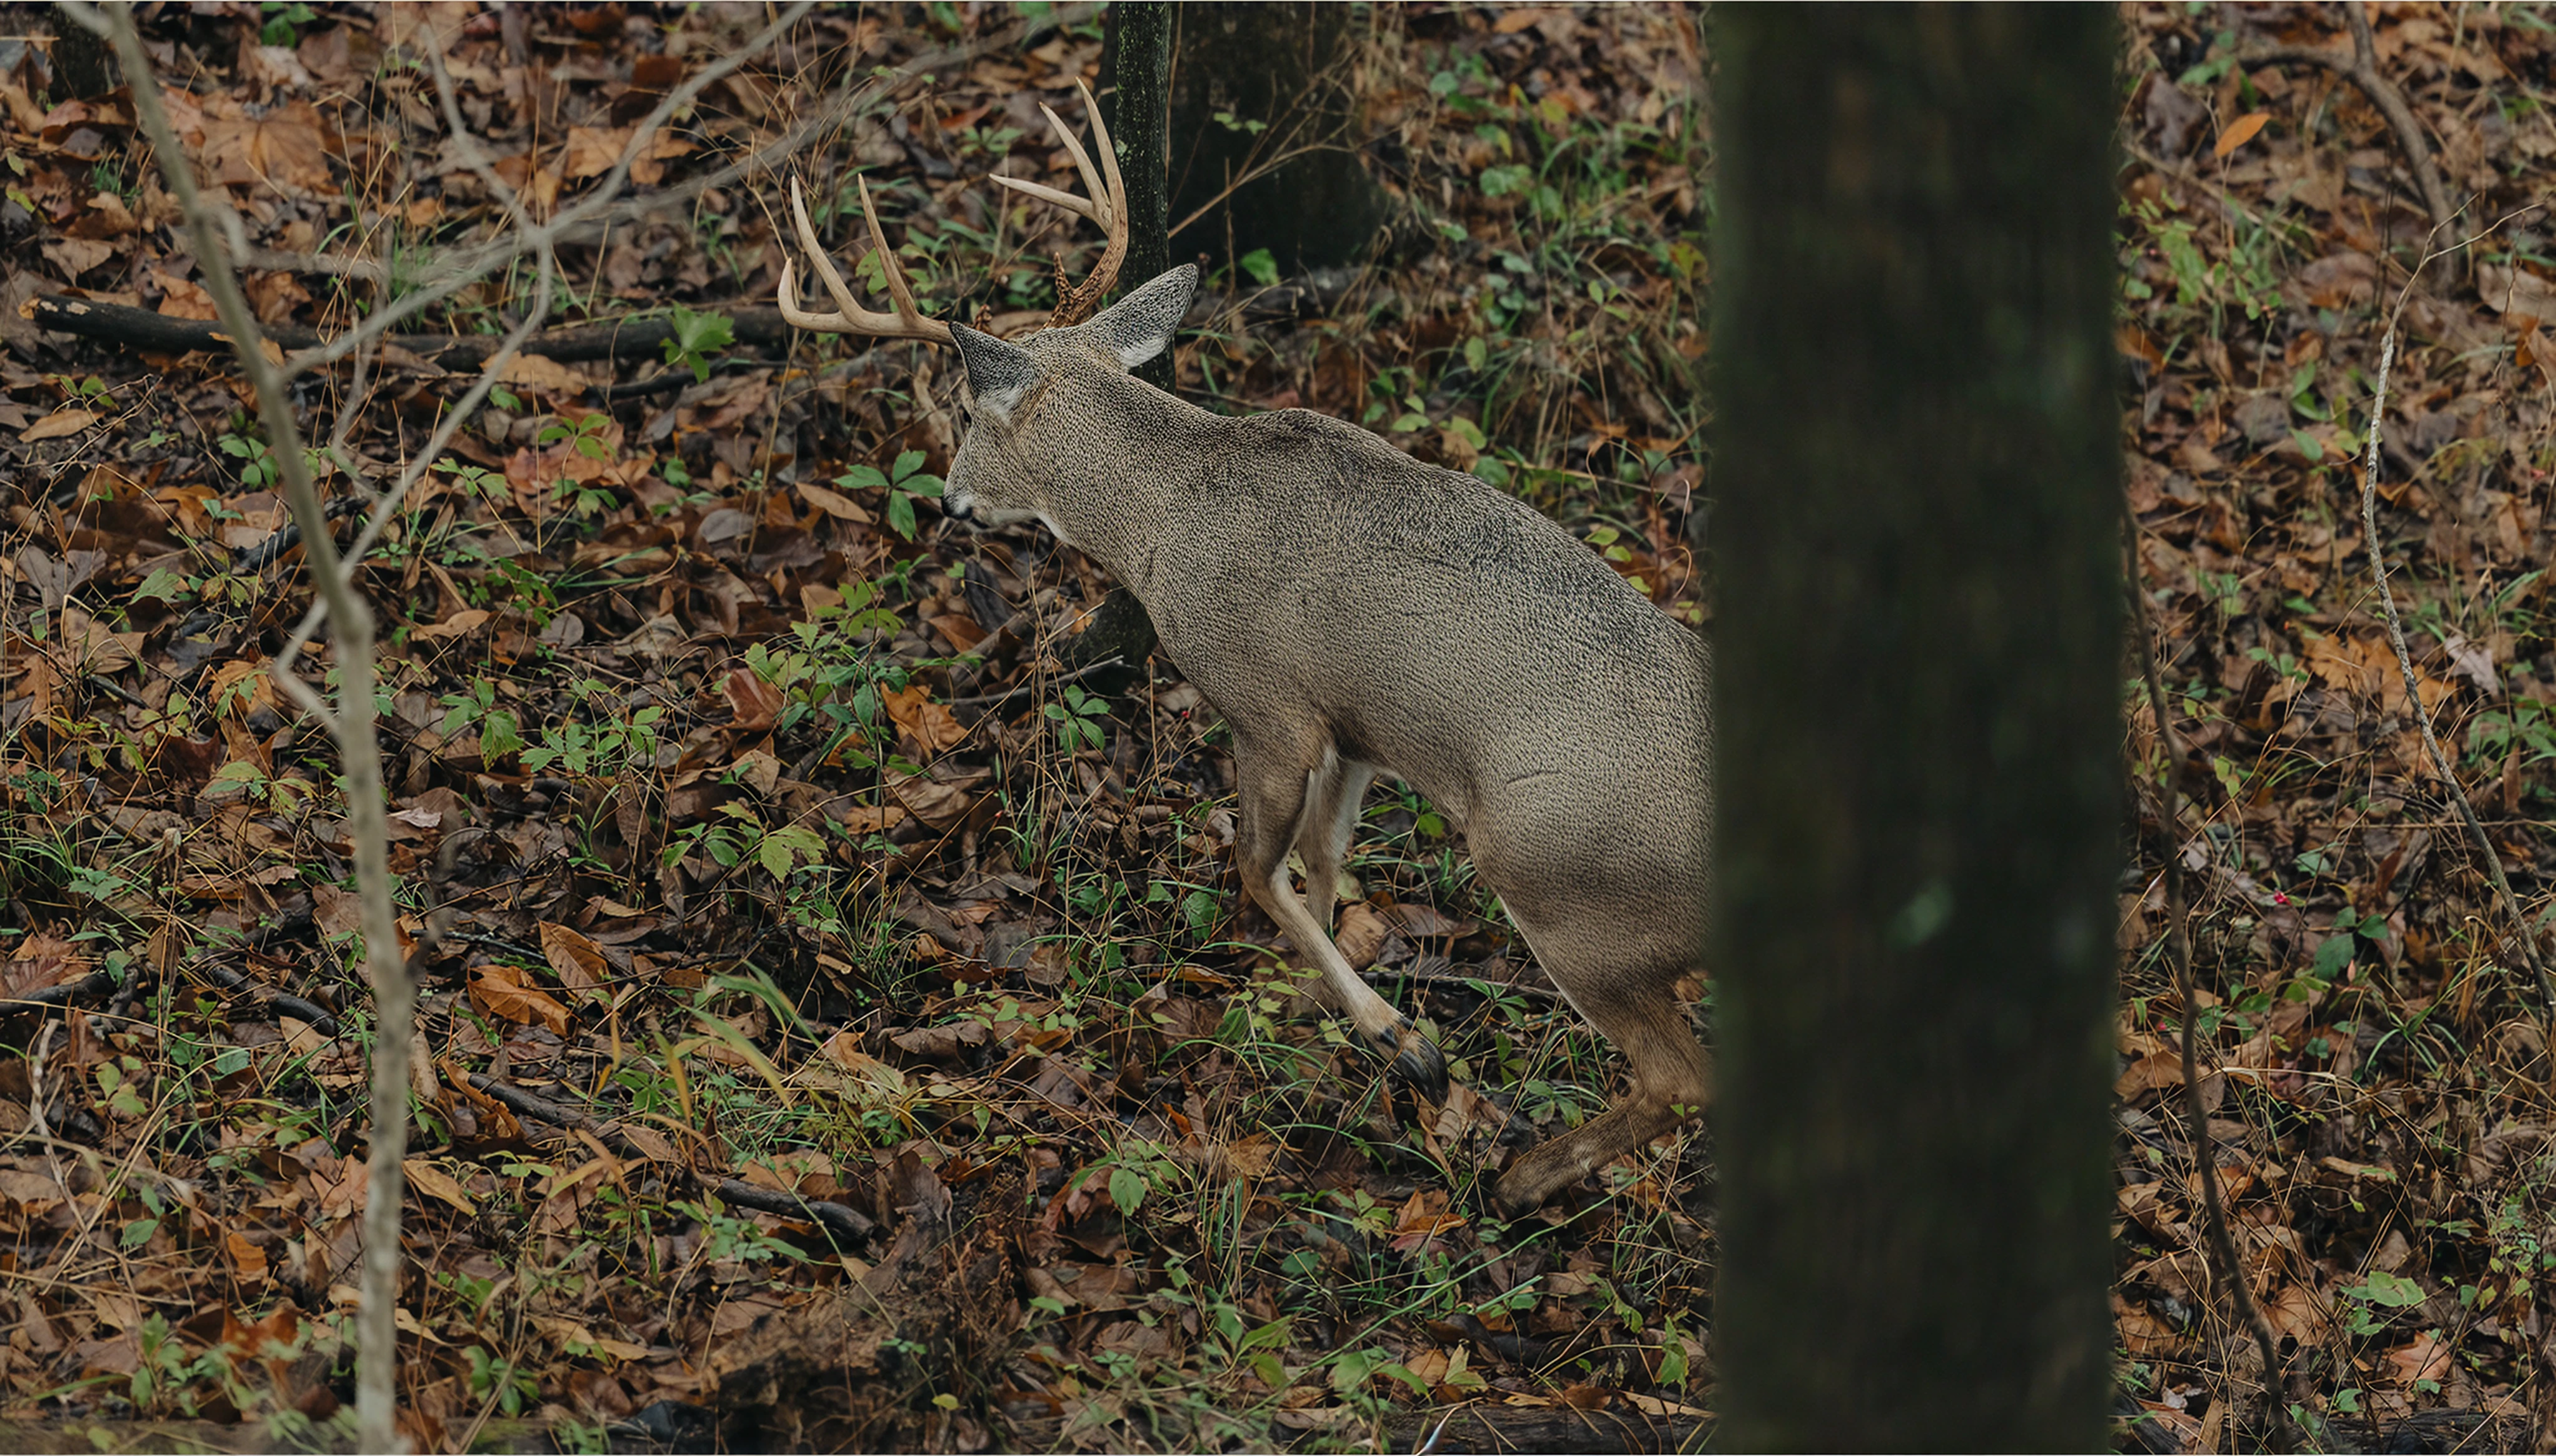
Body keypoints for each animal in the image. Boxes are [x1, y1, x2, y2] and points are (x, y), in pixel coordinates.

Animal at [774, 82, 1712, 1214]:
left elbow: (1255, 869)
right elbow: (1324, 859)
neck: (1165, 516)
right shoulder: (1356, 728)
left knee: (1680, 1075)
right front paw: (1333, 1009)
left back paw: (1522, 1175)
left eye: (964, 408)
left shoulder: (1266, 703)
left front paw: (1404, 1040)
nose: (951, 500)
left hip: (1565, 891)